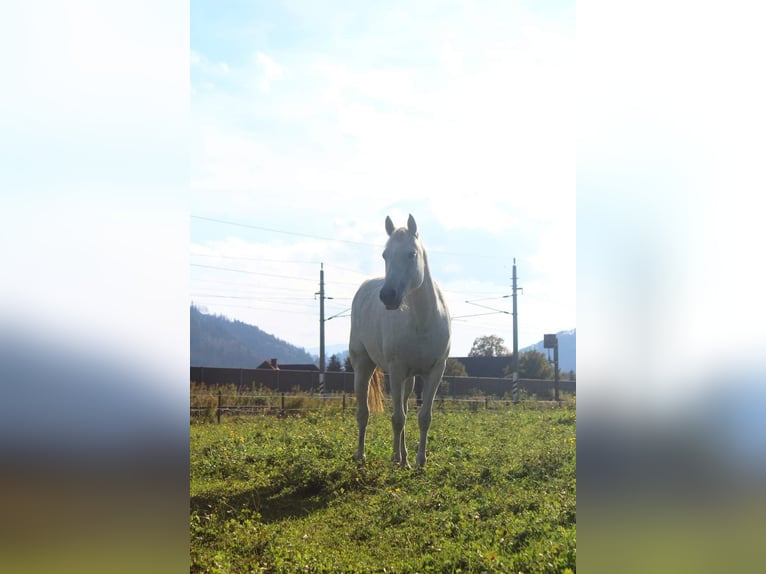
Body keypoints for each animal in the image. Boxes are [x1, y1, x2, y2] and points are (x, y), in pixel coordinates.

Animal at [348, 215, 450, 468]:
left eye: (411, 254)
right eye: (385, 255)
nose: (388, 295)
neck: (422, 320)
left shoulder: (435, 371)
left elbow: (423, 417)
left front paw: (420, 460)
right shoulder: (395, 370)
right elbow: (397, 419)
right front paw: (401, 463)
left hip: (409, 378)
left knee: (403, 406)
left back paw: (401, 456)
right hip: (363, 366)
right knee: (364, 413)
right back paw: (362, 455)